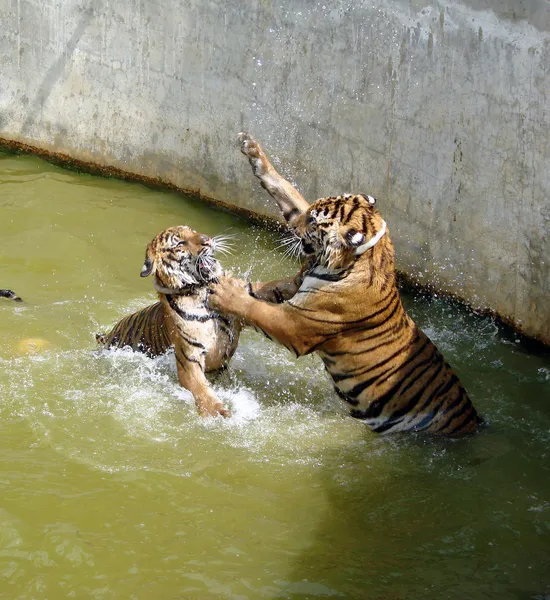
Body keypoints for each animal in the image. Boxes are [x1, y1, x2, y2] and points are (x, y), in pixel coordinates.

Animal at [95, 227, 242, 420]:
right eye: (179, 243)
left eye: (193, 231)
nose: (208, 240)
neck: (199, 293)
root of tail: (109, 334)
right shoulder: (189, 358)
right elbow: (201, 389)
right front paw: (217, 411)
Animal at [207, 131, 484, 434]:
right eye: (310, 211)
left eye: (314, 221)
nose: (294, 225)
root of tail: (475, 424)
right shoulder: (296, 285)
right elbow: (287, 193)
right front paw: (253, 151)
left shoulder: (296, 324)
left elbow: (255, 307)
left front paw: (224, 292)